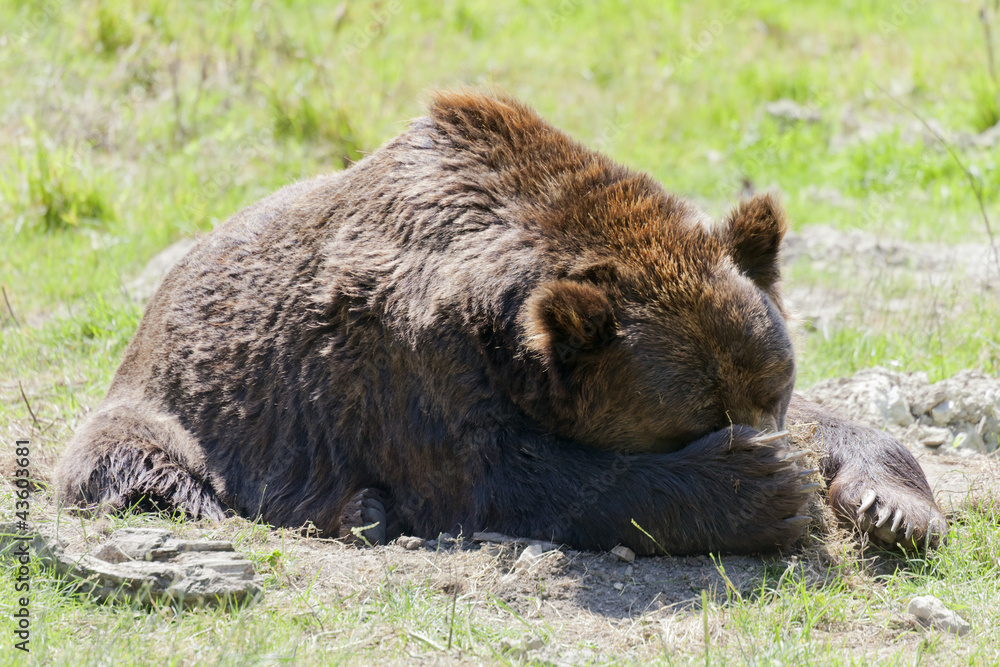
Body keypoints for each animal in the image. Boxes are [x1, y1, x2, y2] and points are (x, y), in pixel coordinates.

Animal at [56, 91, 946, 556]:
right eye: (695, 418)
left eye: (773, 386)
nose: (763, 440)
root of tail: (159, 297)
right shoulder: (410, 362)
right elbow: (508, 480)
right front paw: (763, 490)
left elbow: (844, 421)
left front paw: (893, 502)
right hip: (167, 409)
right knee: (144, 470)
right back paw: (356, 510)